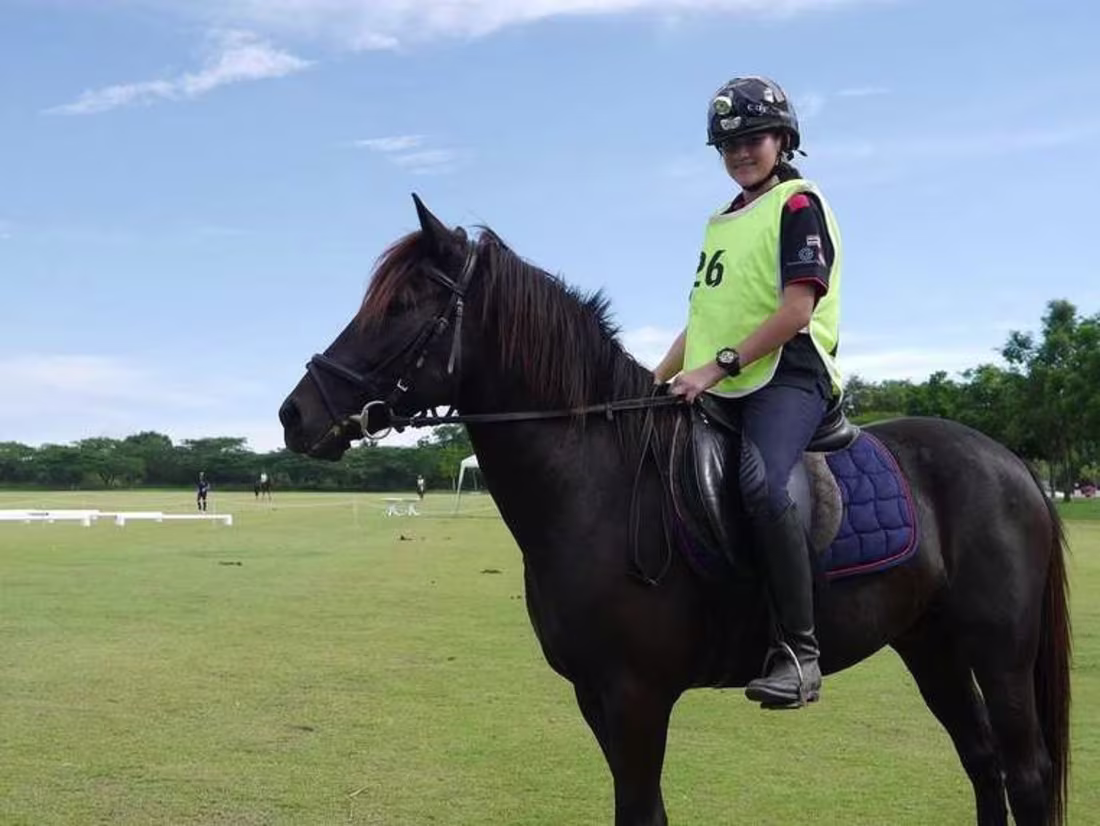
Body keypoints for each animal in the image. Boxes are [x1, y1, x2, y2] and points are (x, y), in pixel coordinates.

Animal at [278, 196, 1071, 826]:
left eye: (401, 306)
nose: (295, 414)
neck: (595, 482)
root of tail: (1013, 464)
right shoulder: (596, 697)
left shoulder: (636, 696)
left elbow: (639, 811)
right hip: (929, 644)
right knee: (981, 763)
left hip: (998, 650)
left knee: (1025, 775)